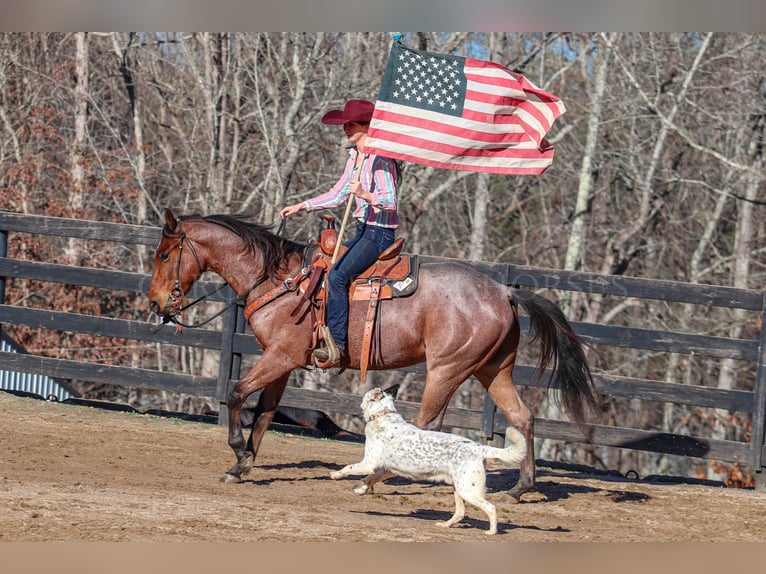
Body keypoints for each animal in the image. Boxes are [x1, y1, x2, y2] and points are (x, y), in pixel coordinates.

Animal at [148, 209, 608, 502]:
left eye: (165, 254)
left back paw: (382, 479)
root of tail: (503, 291)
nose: (155, 303)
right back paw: (521, 488)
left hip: (447, 369)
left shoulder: (279, 357)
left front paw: (239, 456)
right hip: (492, 370)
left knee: (428, 424)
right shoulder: (281, 362)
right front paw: (242, 466)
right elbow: (263, 412)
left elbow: (236, 393)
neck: (281, 280)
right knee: (523, 418)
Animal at [330, 388, 528, 536]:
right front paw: (360, 488)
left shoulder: (369, 462)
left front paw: (335, 474)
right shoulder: (387, 469)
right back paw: (445, 525)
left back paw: (491, 532)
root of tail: (479, 448)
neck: (384, 416)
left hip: (468, 491)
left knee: (491, 508)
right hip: (459, 489)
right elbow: (370, 478)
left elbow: (349, 467)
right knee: (460, 513)